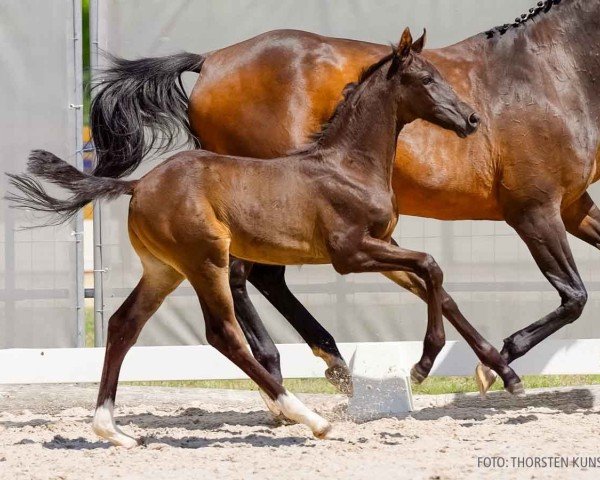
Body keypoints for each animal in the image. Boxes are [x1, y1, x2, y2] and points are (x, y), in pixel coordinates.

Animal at [7, 29, 520, 446]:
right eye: (427, 79)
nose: (471, 120)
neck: (347, 165)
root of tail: (138, 184)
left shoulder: (379, 246)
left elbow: (431, 278)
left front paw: (477, 367)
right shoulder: (350, 253)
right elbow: (431, 264)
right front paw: (422, 364)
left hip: (164, 270)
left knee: (123, 325)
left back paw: (112, 430)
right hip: (205, 261)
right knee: (224, 333)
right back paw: (309, 417)